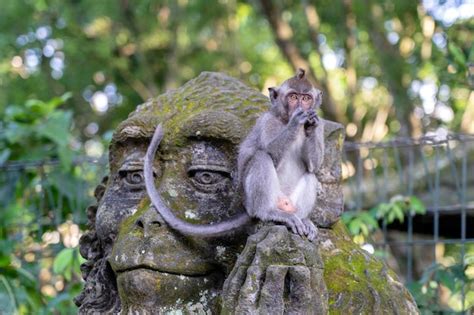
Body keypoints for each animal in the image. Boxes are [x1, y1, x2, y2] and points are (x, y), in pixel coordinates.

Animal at [143, 69, 324, 242]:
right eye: (293, 97)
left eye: (306, 98)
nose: (301, 106)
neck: (284, 119)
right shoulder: (268, 123)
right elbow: (270, 155)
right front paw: (296, 122)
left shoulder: (319, 128)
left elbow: (313, 165)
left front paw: (311, 125)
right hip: (254, 201)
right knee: (261, 158)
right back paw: (269, 212)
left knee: (310, 174)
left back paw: (302, 219)